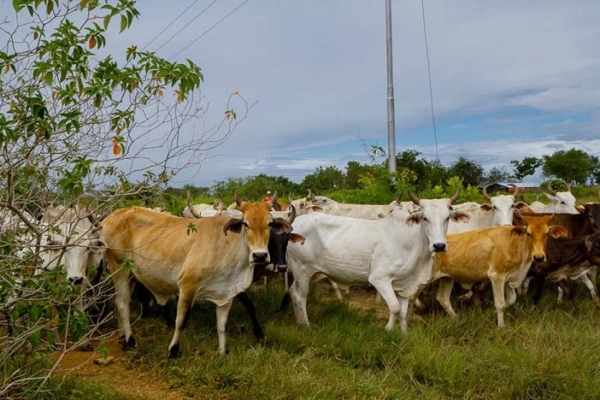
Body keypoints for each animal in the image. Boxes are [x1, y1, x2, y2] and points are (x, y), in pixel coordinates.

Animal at [101, 194, 292, 356]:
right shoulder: (187, 286)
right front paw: (173, 351)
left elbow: (222, 324)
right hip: (119, 268)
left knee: (119, 302)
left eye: (269, 223)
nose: (260, 255)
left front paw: (222, 352)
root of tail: (113, 215)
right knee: (122, 303)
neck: (228, 245)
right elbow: (181, 320)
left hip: (131, 275)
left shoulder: (227, 292)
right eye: (245, 223)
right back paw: (130, 340)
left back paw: (122, 338)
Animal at [284, 189, 468, 332]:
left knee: (292, 292)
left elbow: (403, 312)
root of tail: (295, 223)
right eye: (425, 218)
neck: (412, 242)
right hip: (302, 271)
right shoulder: (380, 279)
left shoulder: (404, 285)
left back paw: (298, 322)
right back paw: (306, 325)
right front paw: (388, 330)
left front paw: (403, 334)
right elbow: (394, 308)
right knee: (300, 296)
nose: (439, 245)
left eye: (447, 218)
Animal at [426, 214, 568, 326]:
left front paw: (493, 312)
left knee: (443, 298)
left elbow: (510, 300)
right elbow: (500, 303)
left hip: (447, 278)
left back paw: (456, 318)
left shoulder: (509, 279)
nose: (539, 257)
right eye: (528, 233)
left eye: (546, 234)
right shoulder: (496, 276)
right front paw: (501, 326)